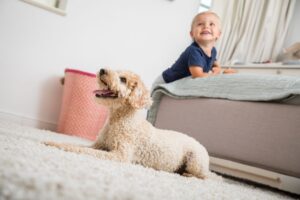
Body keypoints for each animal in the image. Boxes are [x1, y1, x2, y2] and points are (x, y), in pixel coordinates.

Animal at [45, 68, 218, 179]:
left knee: (206, 177)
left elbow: (79, 149)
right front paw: (51, 141)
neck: (118, 120)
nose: (102, 70)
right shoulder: (98, 145)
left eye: (123, 79)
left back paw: (188, 174)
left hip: (195, 161)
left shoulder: (119, 155)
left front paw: (54, 144)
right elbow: (76, 145)